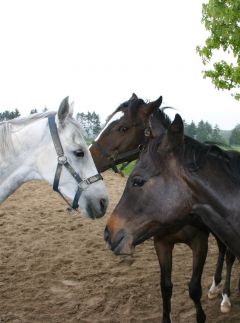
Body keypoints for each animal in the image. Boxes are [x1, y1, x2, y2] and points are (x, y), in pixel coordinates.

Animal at [98, 97, 238, 322]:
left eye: (122, 128)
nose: (88, 153)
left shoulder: (200, 241)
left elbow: (194, 288)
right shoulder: (162, 243)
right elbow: (166, 287)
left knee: (229, 256)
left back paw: (225, 297)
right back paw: (215, 287)